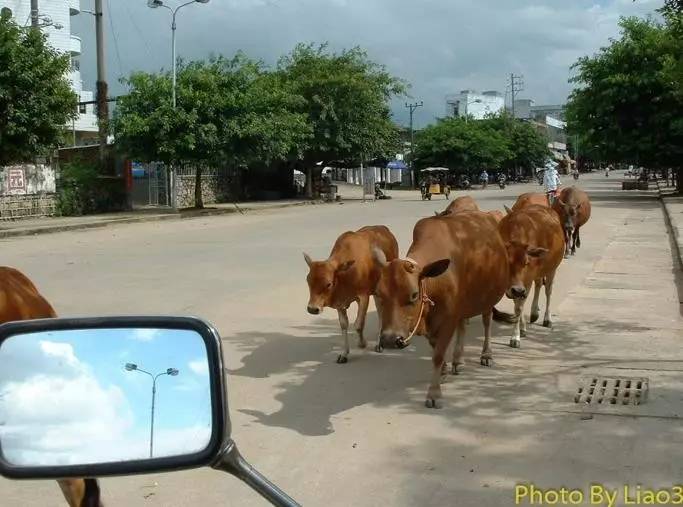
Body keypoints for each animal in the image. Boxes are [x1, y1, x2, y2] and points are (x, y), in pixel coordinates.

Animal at [302, 225, 398, 362]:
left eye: (328, 284)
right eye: (308, 280)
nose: (312, 309)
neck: (344, 275)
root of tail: (385, 229)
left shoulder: (363, 297)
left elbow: (358, 324)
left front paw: (362, 343)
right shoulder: (340, 303)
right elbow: (344, 325)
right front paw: (344, 354)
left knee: (381, 312)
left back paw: (379, 344)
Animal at [372, 210, 510, 408]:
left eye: (414, 295)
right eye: (378, 294)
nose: (390, 339)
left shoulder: (447, 319)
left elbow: (437, 355)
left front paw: (434, 393)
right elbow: (436, 348)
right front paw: (444, 371)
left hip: (488, 299)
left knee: (487, 323)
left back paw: (486, 354)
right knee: (463, 325)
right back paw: (458, 360)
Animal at [496, 206, 568, 350]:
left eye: (526, 263)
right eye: (507, 262)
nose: (517, 290)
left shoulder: (525, 282)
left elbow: (519, 307)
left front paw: (515, 337)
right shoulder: (515, 286)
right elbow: (518, 304)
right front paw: (522, 329)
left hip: (552, 269)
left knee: (548, 291)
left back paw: (547, 319)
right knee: (539, 284)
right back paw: (534, 313)